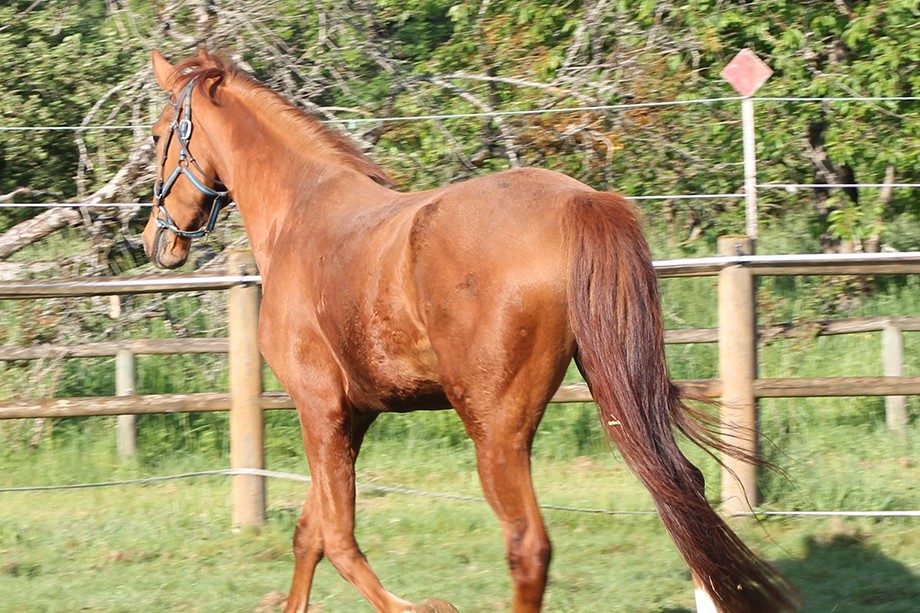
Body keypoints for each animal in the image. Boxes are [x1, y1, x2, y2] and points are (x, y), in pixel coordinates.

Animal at [141, 49, 797, 613]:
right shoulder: (353, 416)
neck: (301, 216)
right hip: (614, 387)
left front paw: (424, 606)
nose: (155, 240)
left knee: (529, 545)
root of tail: (578, 202)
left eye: (156, 135)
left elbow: (341, 539)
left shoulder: (318, 406)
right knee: (679, 487)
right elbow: (312, 534)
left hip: (496, 430)